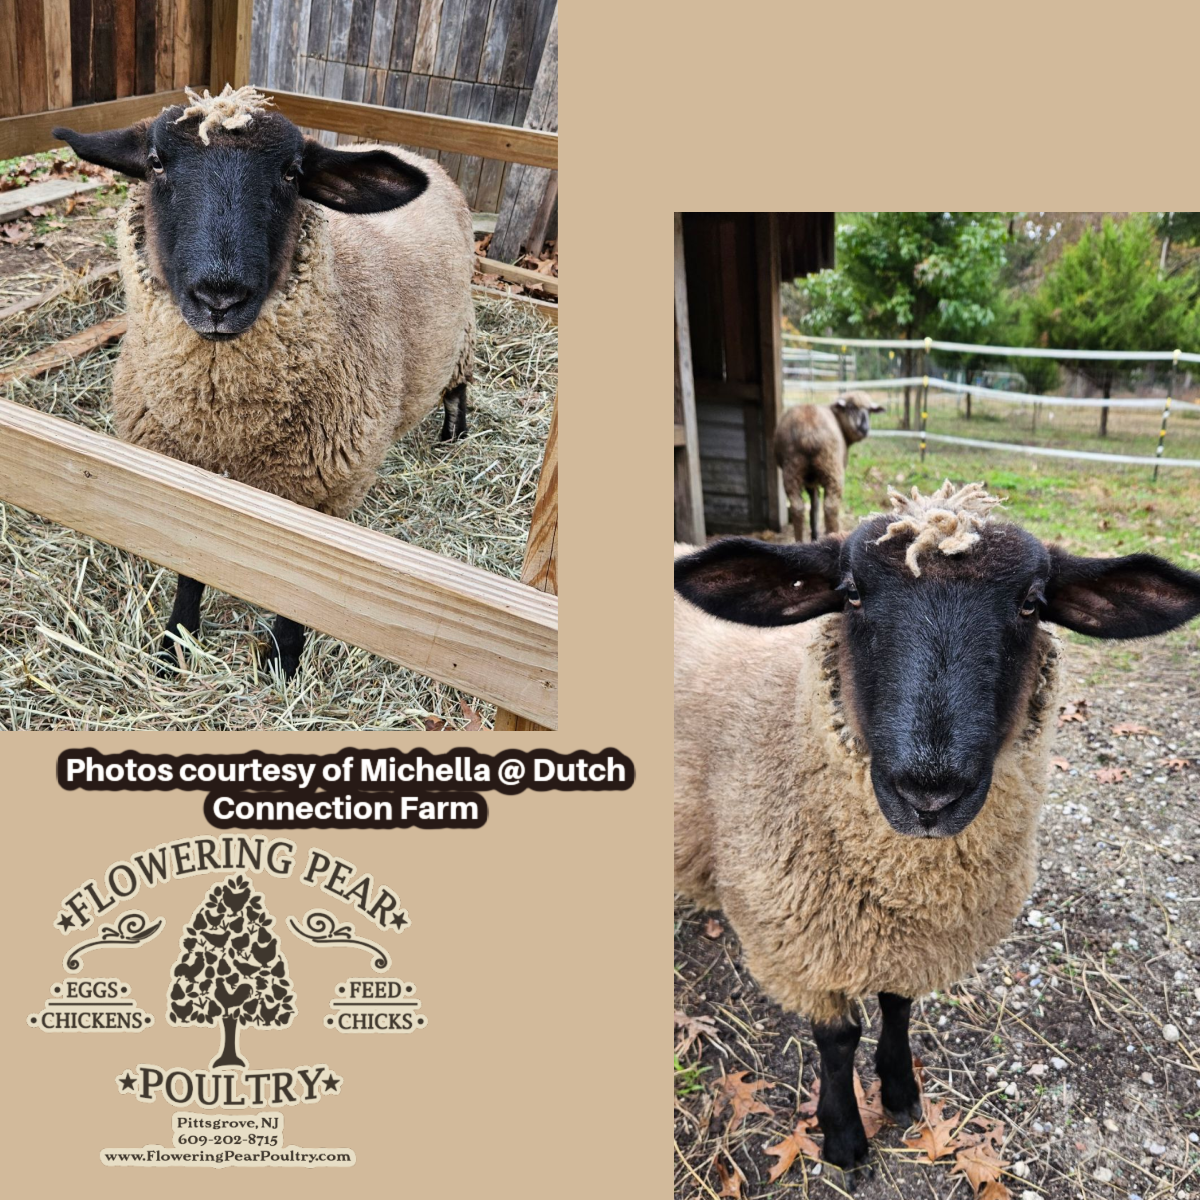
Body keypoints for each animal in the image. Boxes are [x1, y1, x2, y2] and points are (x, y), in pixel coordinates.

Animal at [52, 86, 476, 677]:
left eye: (292, 173)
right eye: (156, 162)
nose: (219, 296)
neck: (228, 427)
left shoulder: (322, 497)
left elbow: (298, 589)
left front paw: (284, 659)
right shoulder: (182, 482)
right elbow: (190, 568)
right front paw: (176, 643)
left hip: (461, 331)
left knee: (458, 385)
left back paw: (454, 434)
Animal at [674, 481, 1200, 1188]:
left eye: (1032, 604)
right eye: (850, 594)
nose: (929, 792)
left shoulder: (908, 938)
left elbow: (897, 1006)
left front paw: (900, 1094)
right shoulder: (798, 943)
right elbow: (837, 1040)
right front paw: (845, 1137)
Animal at [774, 391, 884, 541]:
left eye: (870, 411)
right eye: (851, 407)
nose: (865, 429)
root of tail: (809, 433)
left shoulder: (811, 481)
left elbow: (814, 505)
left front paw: (814, 535)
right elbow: (816, 505)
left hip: (792, 468)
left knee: (797, 507)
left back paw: (799, 541)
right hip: (831, 467)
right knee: (830, 506)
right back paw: (833, 535)